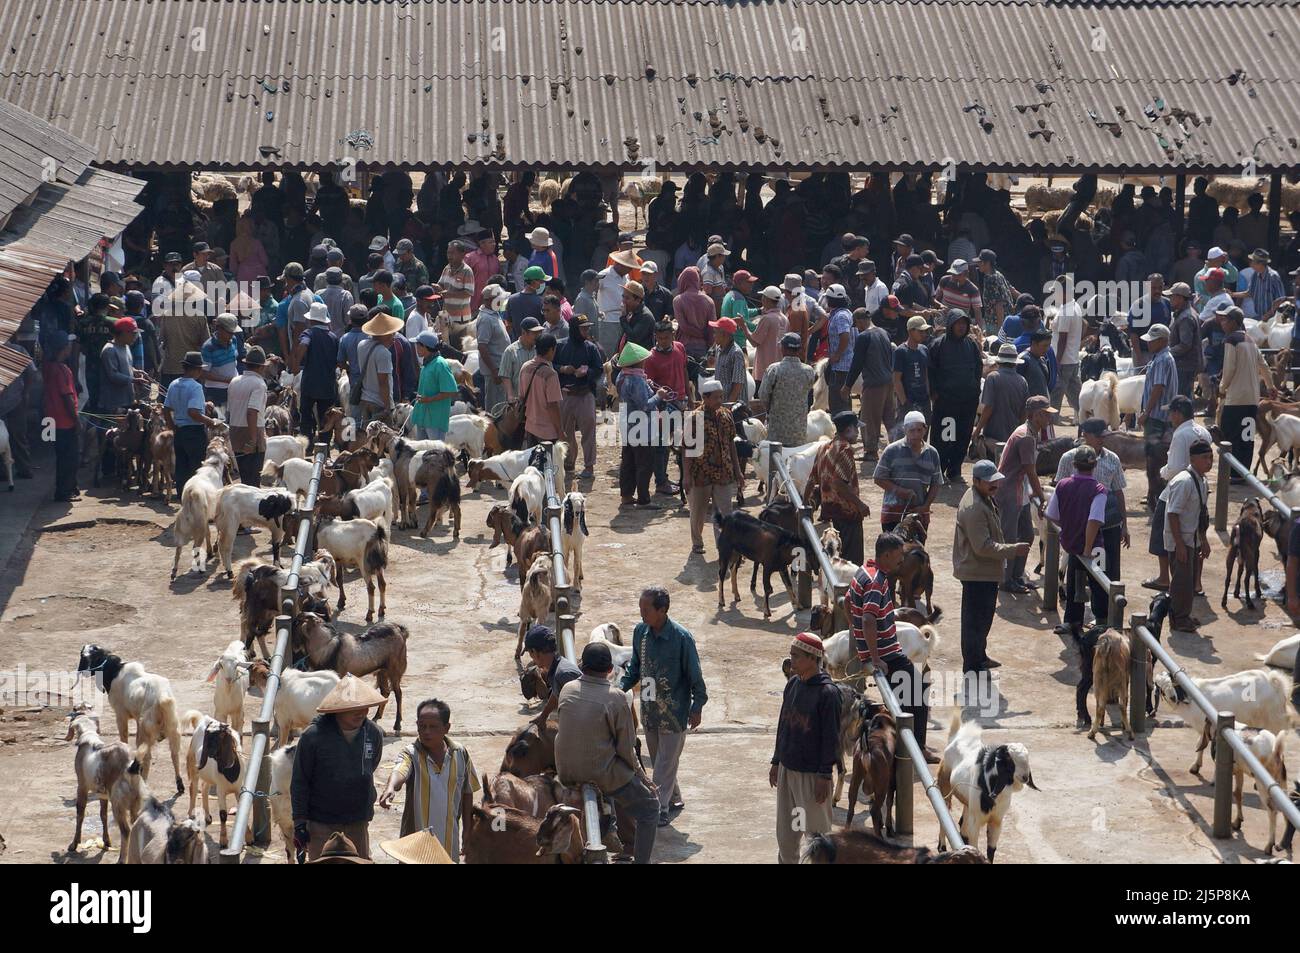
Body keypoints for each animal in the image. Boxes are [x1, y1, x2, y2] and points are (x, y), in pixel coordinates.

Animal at [935, 712, 1034, 863]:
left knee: (962, 825)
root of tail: (955, 736)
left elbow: (991, 849)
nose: (1025, 777)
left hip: (967, 803)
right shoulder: (975, 822)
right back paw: (942, 847)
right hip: (944, 786)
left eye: (1027, 759)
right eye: (1009, 760)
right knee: (943, 814)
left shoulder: (997, 821)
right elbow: (975, 846)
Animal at [1154, 665, 1294, 774]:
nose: (1173, 697)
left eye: (1172, 684)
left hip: (1273, 721)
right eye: (1161, 688)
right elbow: (1200, 744)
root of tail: (1273, 682)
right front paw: (1196, 766)